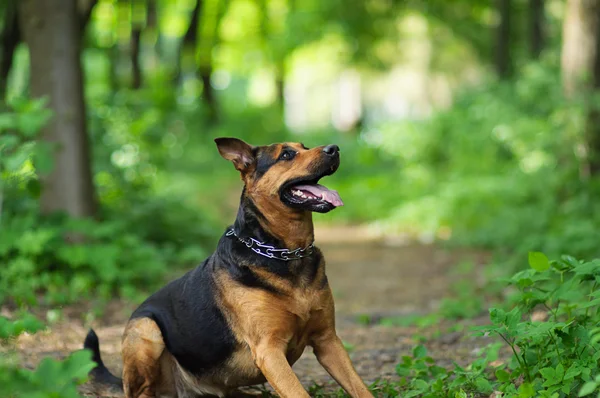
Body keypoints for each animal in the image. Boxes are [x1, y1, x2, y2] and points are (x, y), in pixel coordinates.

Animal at [83, 138, 376, 398]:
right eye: (286, 155)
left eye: (305, 146)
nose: (334, 148)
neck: (286, 254)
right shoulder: (269, 350)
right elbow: (298, 393)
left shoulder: (328, 341)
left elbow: (360, 388)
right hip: (145, 329)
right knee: (141, 391)